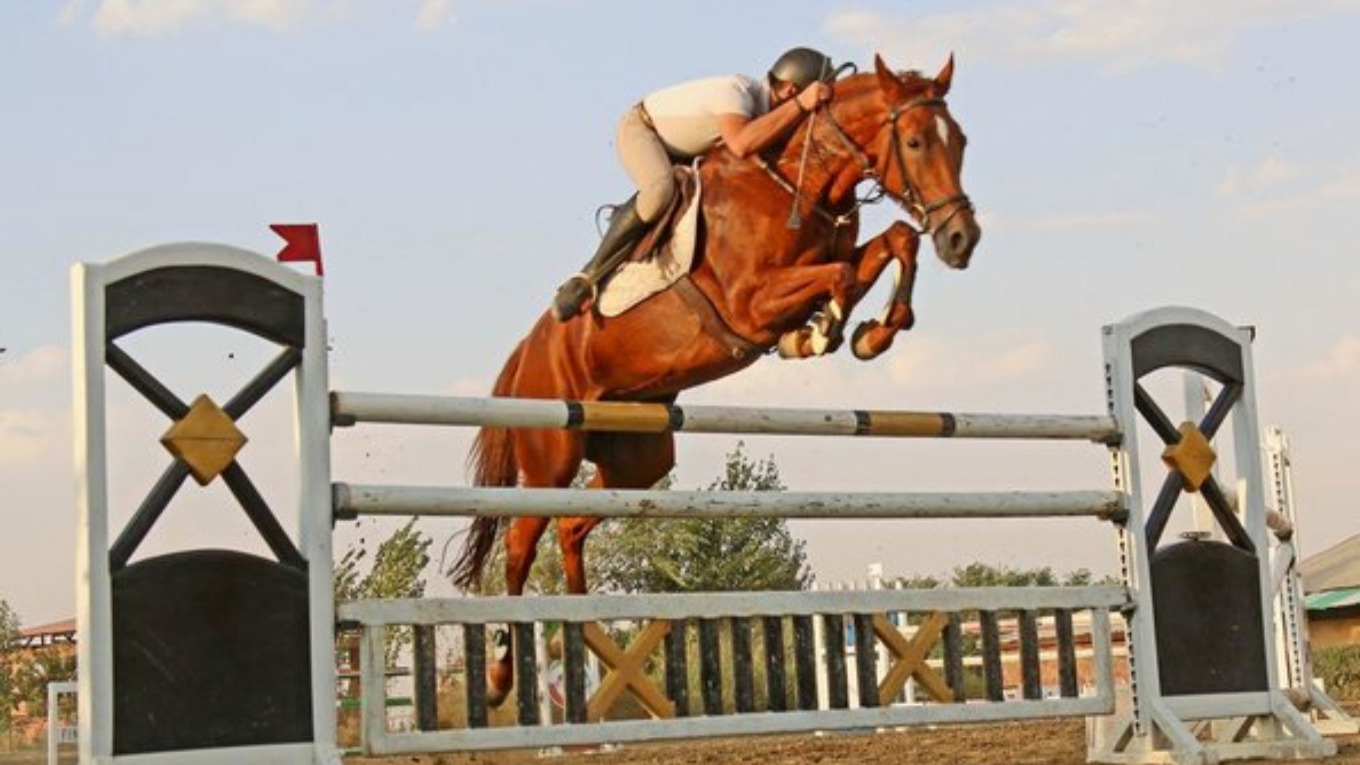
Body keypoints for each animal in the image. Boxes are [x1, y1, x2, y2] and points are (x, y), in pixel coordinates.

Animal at [451, 53, 984, 702]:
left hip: (638, 458)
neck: (800, 182)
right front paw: (823, 330)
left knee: (574, 525)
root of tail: (526, 352)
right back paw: (503, 671)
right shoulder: (750, 304)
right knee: (519, 545)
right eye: (913, 141)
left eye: (960, 141)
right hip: (551, 453)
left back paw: (582, 624)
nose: (962, 240)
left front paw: (871, 332)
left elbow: (894, 243)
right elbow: (837, 276)